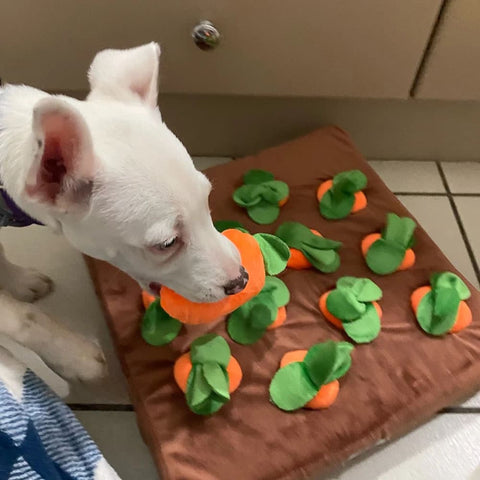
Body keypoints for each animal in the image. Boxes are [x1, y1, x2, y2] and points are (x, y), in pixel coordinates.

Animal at [0, 44, 248, 382]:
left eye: (207, 200)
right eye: (166, 244)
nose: (242, 281)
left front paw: (17, 280)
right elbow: (19, 318)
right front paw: (73, 355)